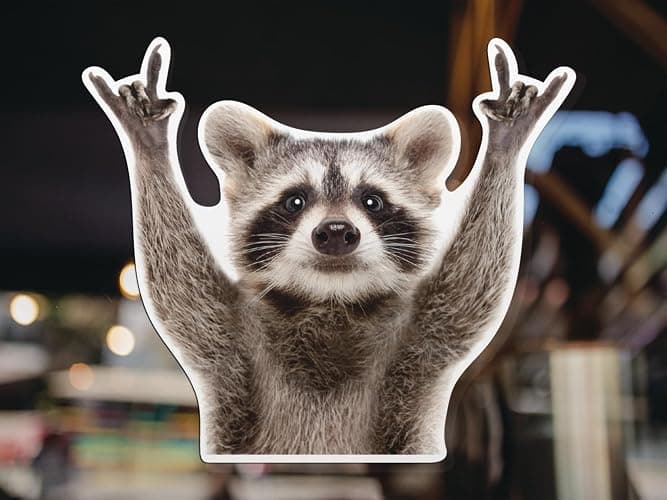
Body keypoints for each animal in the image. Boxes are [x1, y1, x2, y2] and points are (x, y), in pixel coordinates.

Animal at [83, 37, 574, 457]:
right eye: (295, 201)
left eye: (372, 200)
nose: (336, 232)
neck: (331, 300)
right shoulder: (232, 342)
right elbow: (180, 289)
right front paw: (149, 146)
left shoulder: (419, 343)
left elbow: (471, 289)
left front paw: (505, 146)